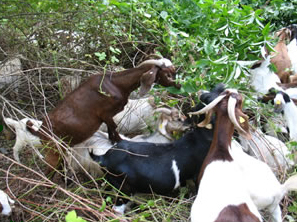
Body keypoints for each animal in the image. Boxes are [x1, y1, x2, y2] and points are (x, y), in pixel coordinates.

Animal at [27, 57, 180, 175]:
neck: (117, 83)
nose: (178, 86)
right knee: (48, 172)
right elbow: (114, 129)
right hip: (54, 151)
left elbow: (111, 131)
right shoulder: (105, 114)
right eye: (167, 74)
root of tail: (40, 131)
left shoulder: (107, 117)